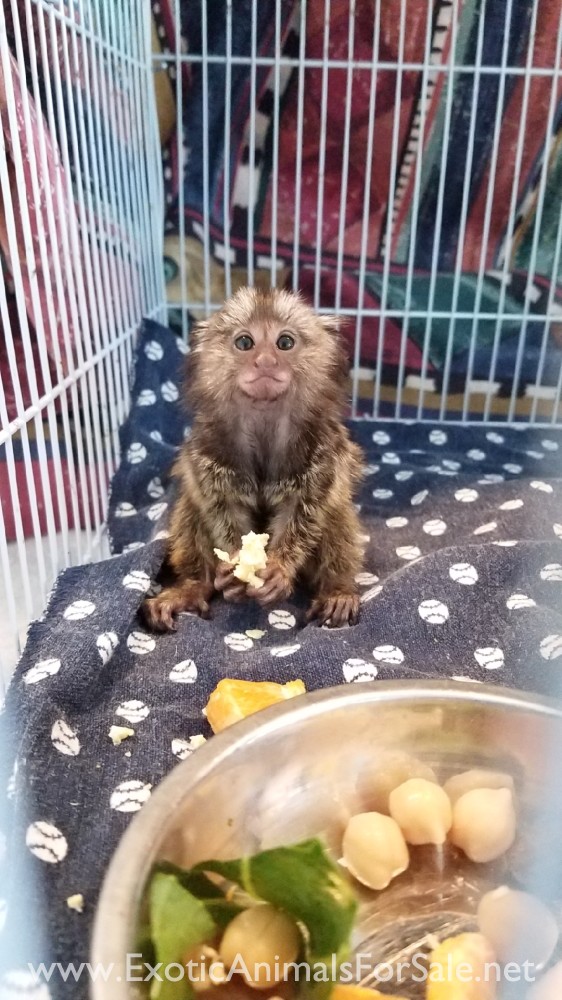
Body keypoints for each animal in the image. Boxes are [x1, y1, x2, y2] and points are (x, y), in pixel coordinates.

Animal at [141, 287, 365, 632]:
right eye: (245, 343)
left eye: (284, 342)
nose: (265, 362)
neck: (264, 418)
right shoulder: (207, 449)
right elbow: (221, 506)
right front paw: (234, 567)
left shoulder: (323, 448)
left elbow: (305, 509)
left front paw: (279, 570)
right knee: (191, 507)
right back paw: (191, 587)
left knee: (336, 511)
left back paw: (337, 590)